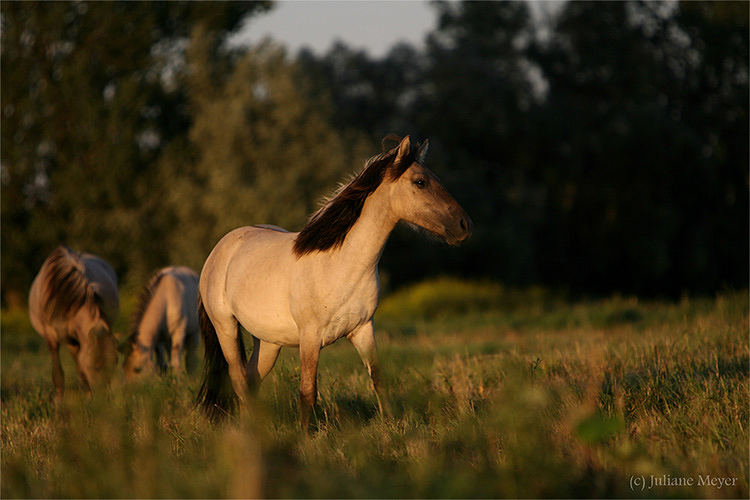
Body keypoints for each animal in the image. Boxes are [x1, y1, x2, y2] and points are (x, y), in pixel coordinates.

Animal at [28, 244, 119, 400]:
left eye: (114, 362)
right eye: (94, 366)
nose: (104, 397)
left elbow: (80, 368)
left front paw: (89, 396)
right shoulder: (56, 337)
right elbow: (59, 372)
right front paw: (59, 400)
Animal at [197, 135, 472, 428]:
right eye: (420, 182)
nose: (464, 224)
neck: (340, 265)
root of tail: (219, 250)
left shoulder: (363, 329)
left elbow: (378, 380)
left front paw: (390, 428)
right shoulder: (309, 338)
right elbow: (308, 392)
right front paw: (305, 436)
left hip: (268, 340)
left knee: (252, 379)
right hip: (225, 327)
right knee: (238, 379)